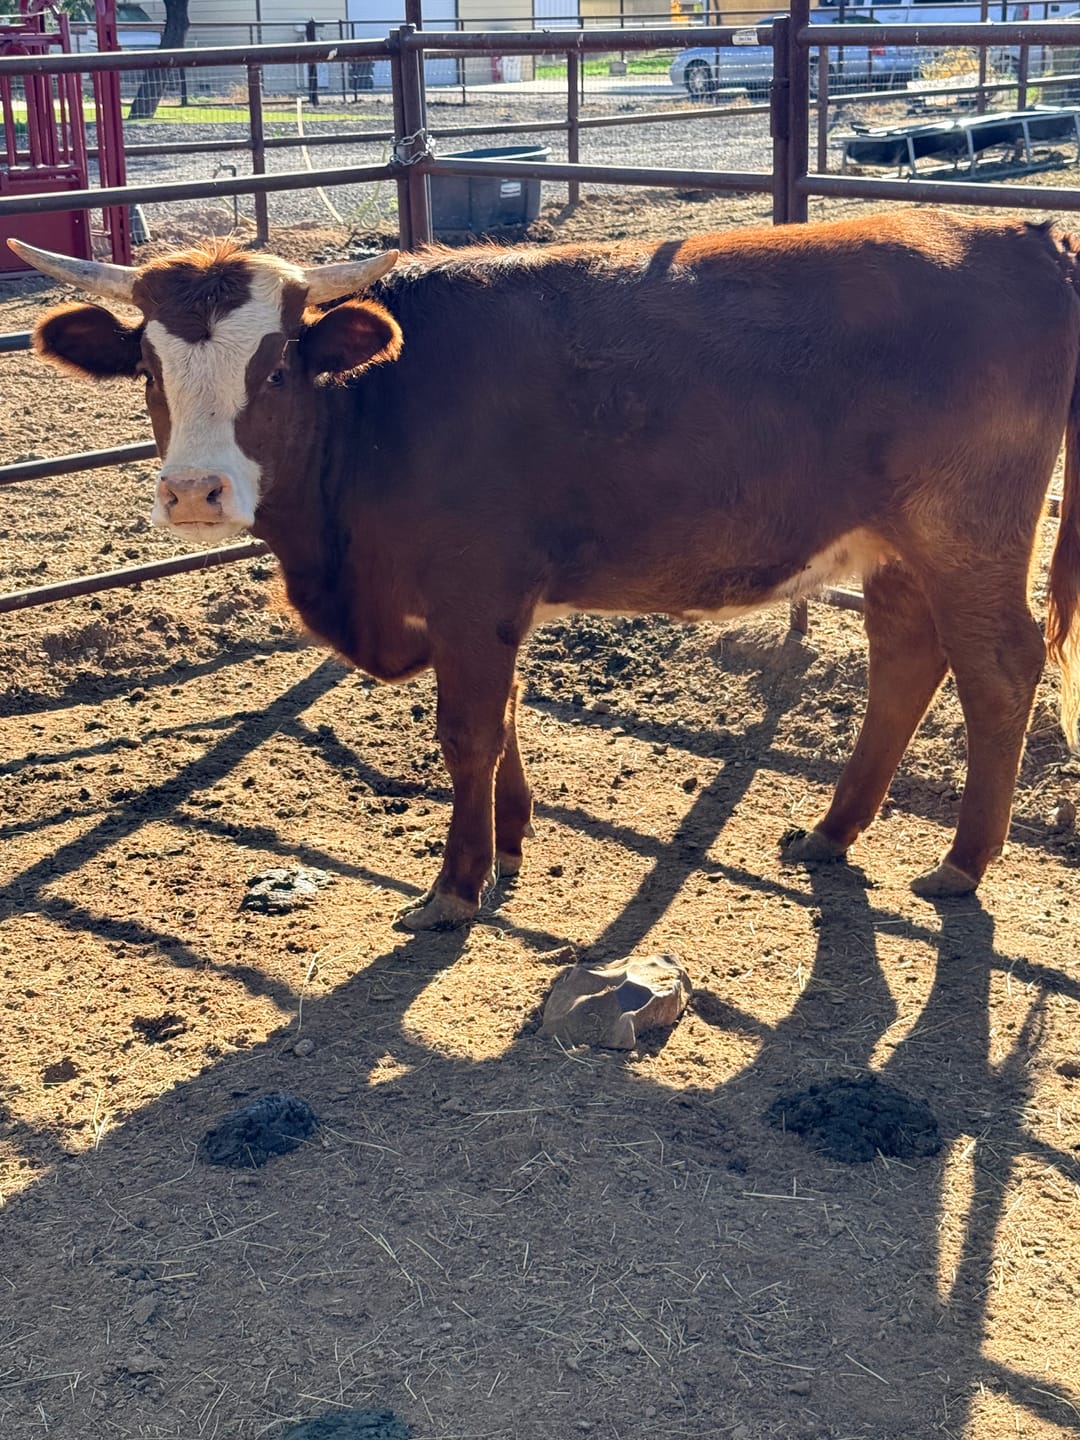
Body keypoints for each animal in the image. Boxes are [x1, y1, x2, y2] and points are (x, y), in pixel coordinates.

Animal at [10, 210, 1080, 930]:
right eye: (150, 372)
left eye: (273, 370)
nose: (194, 492)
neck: (381, 406)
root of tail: (1018, 233)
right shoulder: (484, 605)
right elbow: (509, 716)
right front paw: (512, 837)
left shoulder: (470, 590)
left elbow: (469, 732)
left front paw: (454, 884)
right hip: (899, 544)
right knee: (906, 655)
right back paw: (834, 828)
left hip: (968, 530)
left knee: (998, 667)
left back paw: (962, 862)